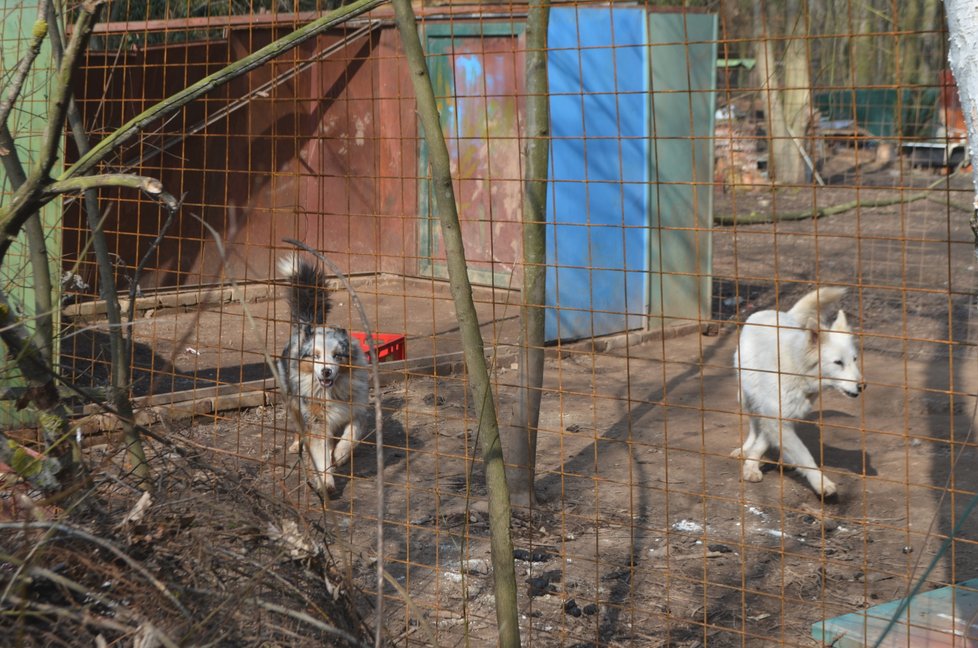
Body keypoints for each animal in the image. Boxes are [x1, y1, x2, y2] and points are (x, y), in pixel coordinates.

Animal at [732, 288, 860, 496]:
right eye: (838, 362)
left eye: (854, 360)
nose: (862, 386)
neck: (797, 369)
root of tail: (776, 312)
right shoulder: (774, 414)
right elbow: (804, 455)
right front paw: (821, 483)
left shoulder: (784, 415)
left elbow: (767, 441)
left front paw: (752, 464)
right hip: (745, 399)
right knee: (753, 427)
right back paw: (745, 448)